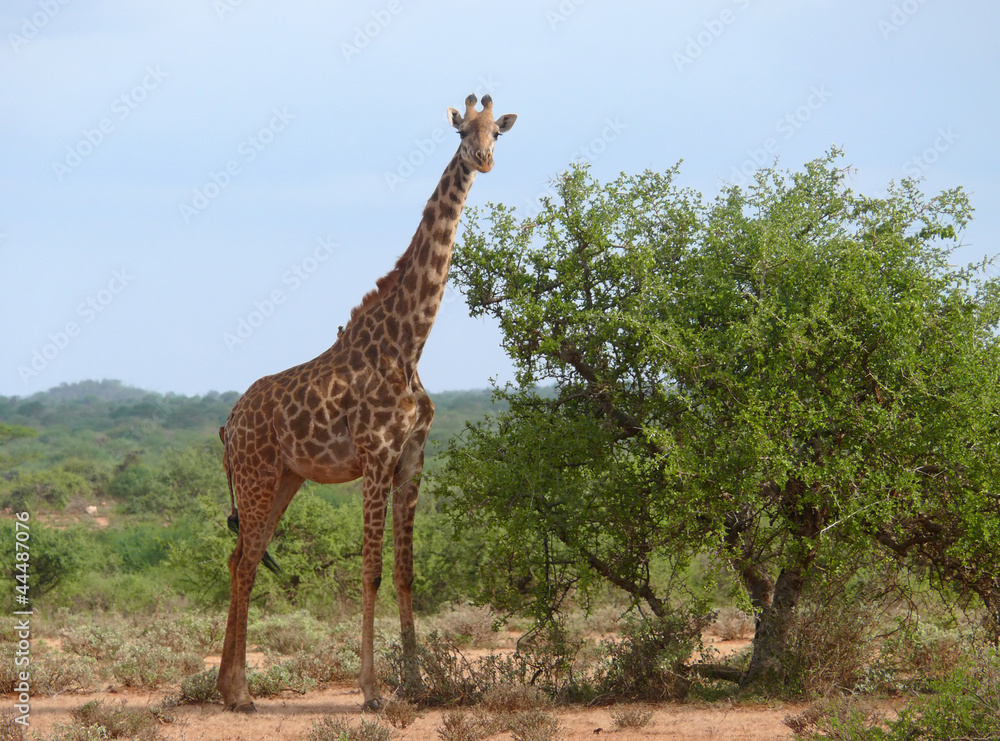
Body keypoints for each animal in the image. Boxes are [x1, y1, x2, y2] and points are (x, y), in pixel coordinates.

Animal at [216, 94, 516, 712]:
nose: (483, 160)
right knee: (244, 560)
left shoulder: (411, 461)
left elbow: (405, 572)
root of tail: (227, 426)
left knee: (243, 558)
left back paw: (231, 688)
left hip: (285, 478)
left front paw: (417, 684)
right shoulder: (375, 458)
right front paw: (373, 691)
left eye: (497, 132)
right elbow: (371, 571)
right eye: (462, 132)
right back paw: (239, 692)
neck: (409, 342)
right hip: (258, 477)